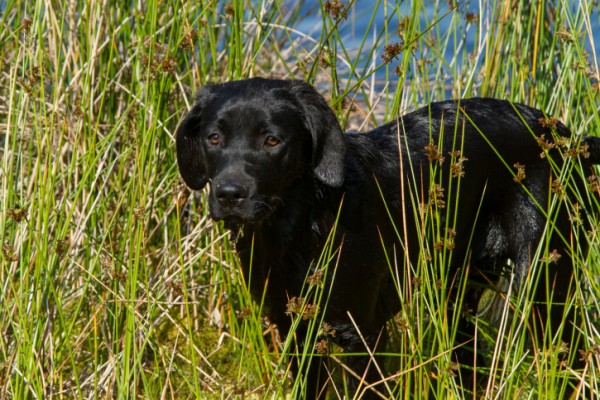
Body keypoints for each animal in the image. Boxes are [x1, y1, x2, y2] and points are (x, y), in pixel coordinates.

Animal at [176, 77, 596, 396]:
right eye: (214, 138)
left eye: (272, 141)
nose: (229, 194)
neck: (297, 231)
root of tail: (565, 135)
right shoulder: (292, 329)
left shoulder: (361, 336)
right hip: (456, 292)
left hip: (544, 282)